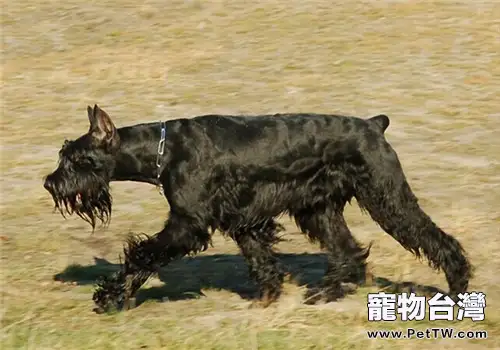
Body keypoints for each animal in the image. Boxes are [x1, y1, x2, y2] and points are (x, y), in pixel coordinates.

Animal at [44, 105, 472, 314]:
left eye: (75, 159)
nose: (50, 182)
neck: (163, 151)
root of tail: (374, 124)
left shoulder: (187, 225)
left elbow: (141, 255)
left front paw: (109, 297)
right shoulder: (244, 219)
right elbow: (260, 259)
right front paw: (268, 296)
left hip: (387, 199)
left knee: (435, 238)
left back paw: (457, 288)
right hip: (317, 209)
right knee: (347, 252)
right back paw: (323, 294)